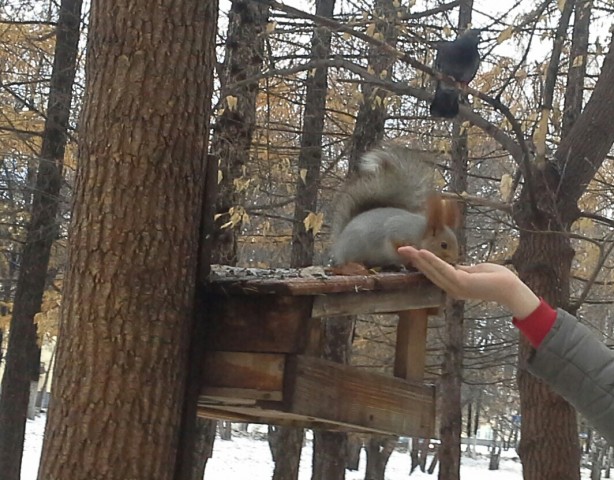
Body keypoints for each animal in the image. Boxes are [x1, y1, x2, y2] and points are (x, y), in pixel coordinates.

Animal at [330, 142, 460, 270]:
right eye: (443, 245)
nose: (454, 262)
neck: (420, 233)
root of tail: (339, 246)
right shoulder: (399, 229)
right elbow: (394, 240)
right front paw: (407, 247)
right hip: (355, 247)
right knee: (350, 261)